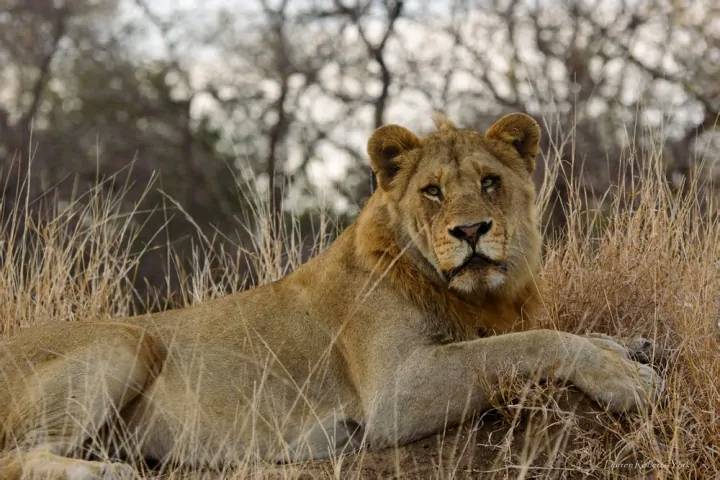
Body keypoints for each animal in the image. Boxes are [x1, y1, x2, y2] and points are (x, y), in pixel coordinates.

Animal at [0, 113, 660, 480]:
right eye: (433, 191)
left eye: (490, 182)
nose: (471, 231)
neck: (473, 298)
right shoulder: (396, 394)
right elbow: (529, 342)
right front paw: (626, 379)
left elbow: (547, 334)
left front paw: (633, 346)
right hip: (125, 339)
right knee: (14, 457)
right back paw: (102, 472)